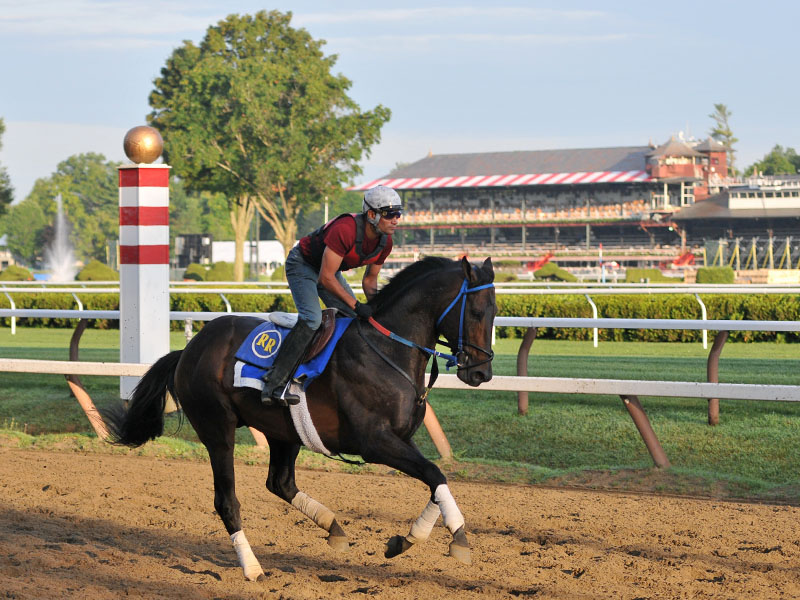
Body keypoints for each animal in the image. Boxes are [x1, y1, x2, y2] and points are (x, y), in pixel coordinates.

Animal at [103, 254, 496, 580]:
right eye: (477, 312)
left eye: (494, 312)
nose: (481, 372)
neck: (388, 349)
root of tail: (188, 349)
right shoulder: (374, 442)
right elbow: (434, 474)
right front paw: (458, 538)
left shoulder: (402, 438)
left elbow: (435, 479)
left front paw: (409, 539)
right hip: (217, 429)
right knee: (227, 501)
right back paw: (253, 569)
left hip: (283, 430)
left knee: (280, 483)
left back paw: (334, 528)